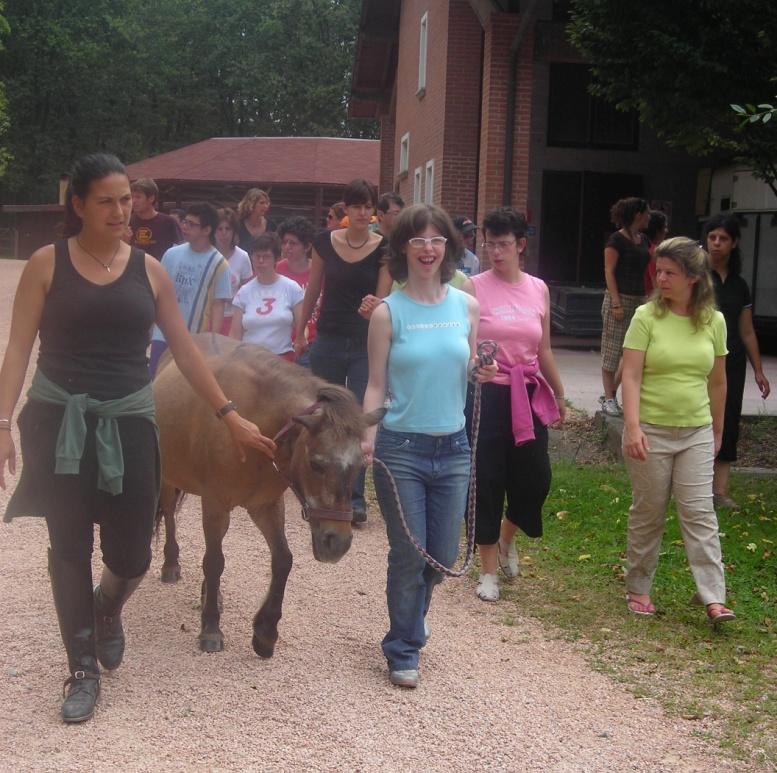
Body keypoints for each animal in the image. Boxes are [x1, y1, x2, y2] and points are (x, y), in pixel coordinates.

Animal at [152, 334, 382, 656]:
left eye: (361, 465)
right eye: (316, 464)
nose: (337, 543)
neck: (250, 429)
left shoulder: (266, 506)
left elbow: (283, 559)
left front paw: (265, 631)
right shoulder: (215, 504)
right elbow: (214, 561)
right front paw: (211, 627)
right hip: (168, 477)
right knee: (171, 516)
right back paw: (171, 563)